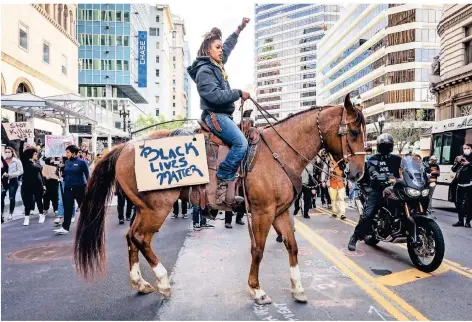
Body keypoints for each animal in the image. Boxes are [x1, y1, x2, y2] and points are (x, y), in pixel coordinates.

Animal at [74, 93, 366, 304]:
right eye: (352, 132)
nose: (358, 173)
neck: (280, 151)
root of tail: (126, 145)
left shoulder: (280, 212)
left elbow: (292, 246)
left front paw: (297, 288)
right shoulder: (262, 212)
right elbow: (258, 249)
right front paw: (256, 290)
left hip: (142, 207)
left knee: (131, 238)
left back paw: (140, 283)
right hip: (157, 207)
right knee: (140, 238)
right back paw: (163, 282)